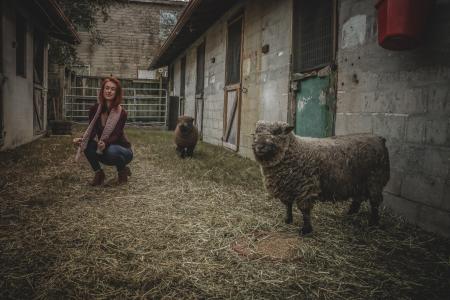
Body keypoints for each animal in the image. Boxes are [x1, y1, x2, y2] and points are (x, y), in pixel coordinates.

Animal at [253, 120, 390, 236]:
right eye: (256, 132)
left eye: (276, 132)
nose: (259, 147)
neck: (294, 149)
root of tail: (379, 138)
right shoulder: (286, 187)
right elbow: (288, 205)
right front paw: (288, 220)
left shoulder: (305, 188)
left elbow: (305, 211)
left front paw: (306, 230)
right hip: (359, 181)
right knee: (358, 198)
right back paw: (350, 213)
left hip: (375, 180)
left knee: (375, 202)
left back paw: (373, 222)